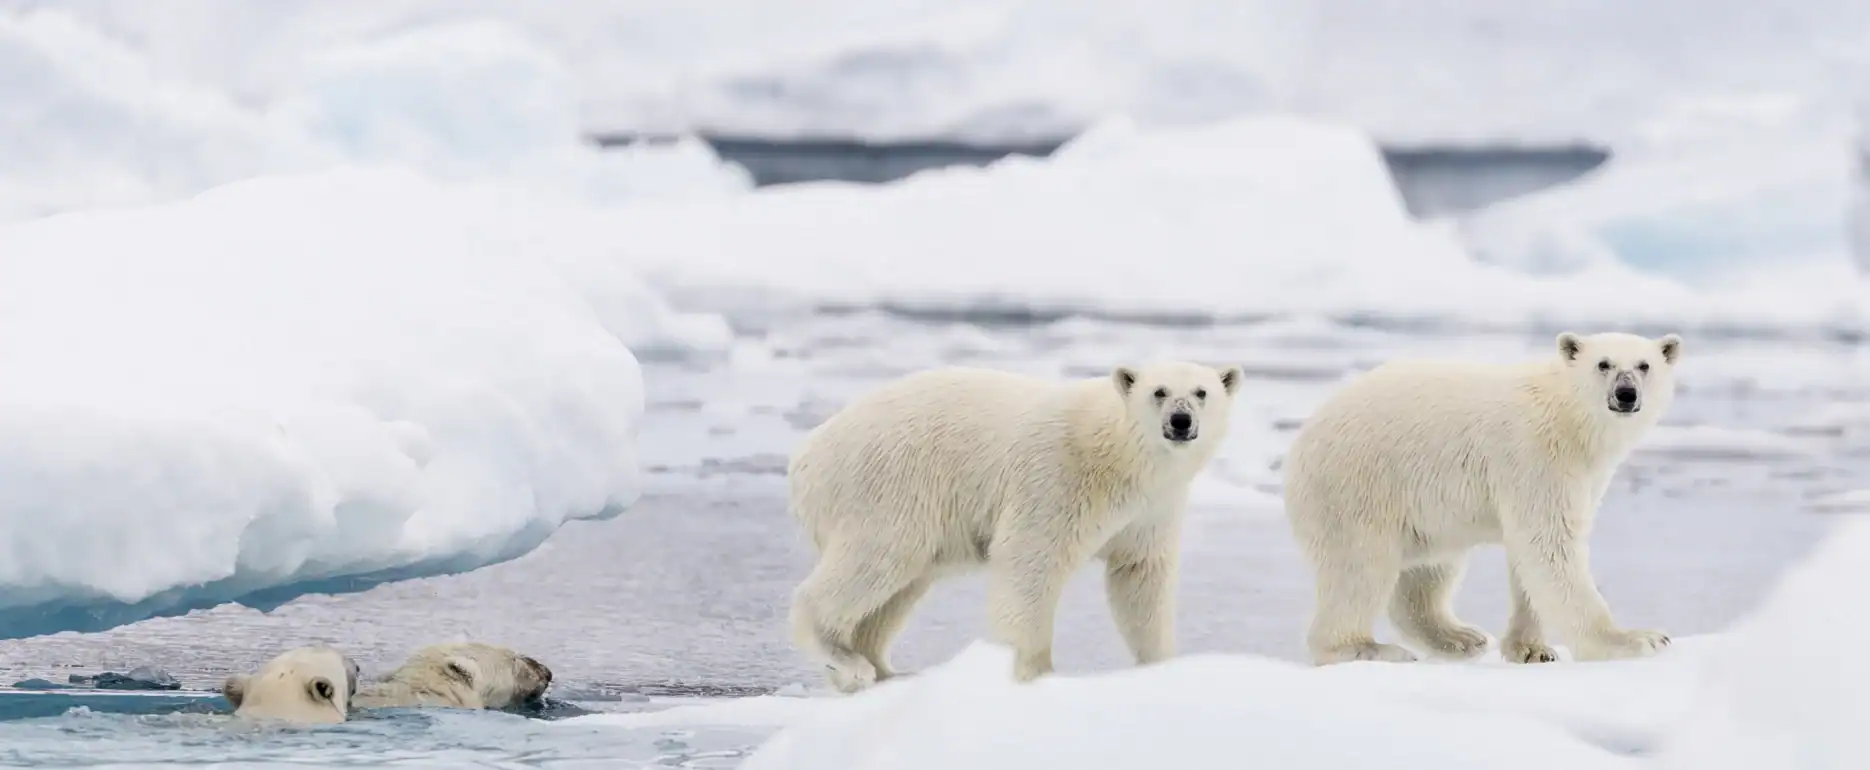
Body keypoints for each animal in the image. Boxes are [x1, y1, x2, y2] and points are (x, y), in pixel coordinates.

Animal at [786, 361, 1245, 693]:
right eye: (1159, 391)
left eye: (1202, 392)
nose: (1181, 421)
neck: (1119, 457)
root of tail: (805, 455)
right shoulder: (1058, 481)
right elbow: (1029, 564)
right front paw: (1031, 674)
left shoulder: (1152, 510)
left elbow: (1139, 578)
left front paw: (1161, 666)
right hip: (888, 487)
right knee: (877, 559)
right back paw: (850, 662)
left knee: (900, 589)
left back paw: (885, 671)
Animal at [1281, 331, 1683, 666]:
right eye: (1604, 364)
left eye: (1644, 365)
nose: (1626, 394)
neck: (1568, 419)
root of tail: (1299, 446)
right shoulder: (1535, 457)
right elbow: (1550, 544)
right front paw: (1639, 640)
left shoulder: (1584, 475)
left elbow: (1528, 551)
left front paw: (1530, 649)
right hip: (1358, 487)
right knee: (1359, 567)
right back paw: (1368, 648)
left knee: (1428, 572)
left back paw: (1461, 638)